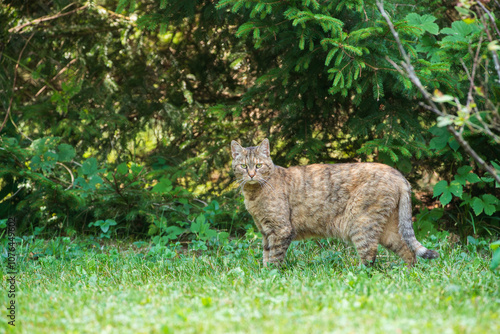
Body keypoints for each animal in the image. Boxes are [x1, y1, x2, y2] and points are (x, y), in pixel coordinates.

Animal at [230, 138, 438, 266]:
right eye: (243, 166)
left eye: (258, 165)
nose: (251, 175)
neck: (254, 194)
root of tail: (397, 174)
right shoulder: (265, 232)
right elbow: (266, 256)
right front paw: (264, 275)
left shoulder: (280, 229)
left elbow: (274, 257)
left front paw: (272, 275)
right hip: (388, 229)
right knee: (408, 251)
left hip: (361, 223)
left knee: (369, 258)